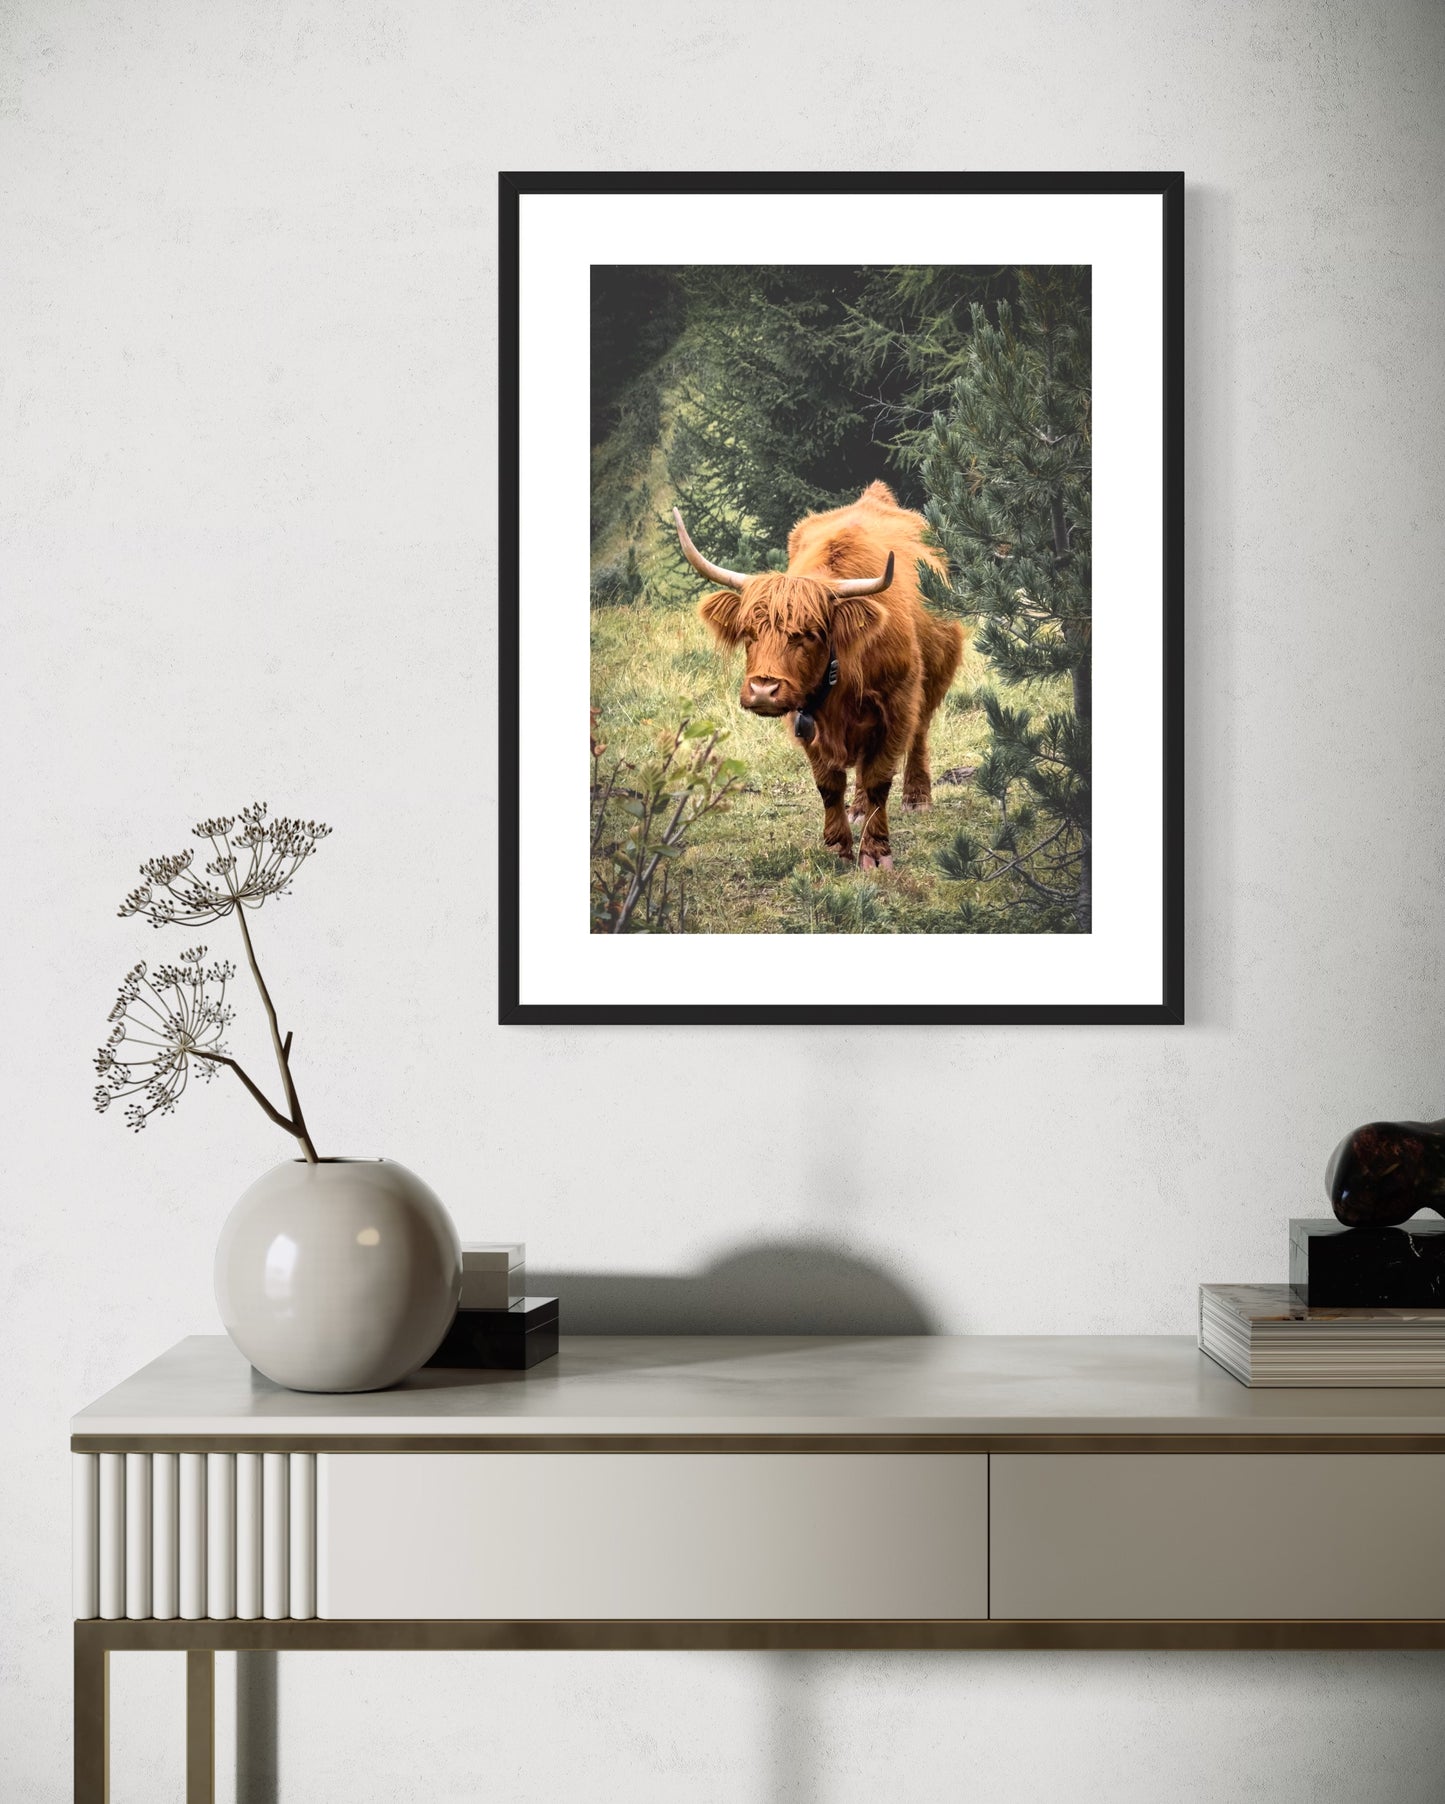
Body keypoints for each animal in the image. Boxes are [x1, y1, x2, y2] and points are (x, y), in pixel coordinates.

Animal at [675, 481, 964, 869]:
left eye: (809, 634)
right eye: (748, 633)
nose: (763, 690)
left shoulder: (897, 705)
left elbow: (879, 779)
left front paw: (875, 852)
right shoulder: (804, 719)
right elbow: (829, 784)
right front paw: (837, 846)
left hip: (931, 682)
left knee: (918, 734)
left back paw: (917, 798)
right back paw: (858, 810)